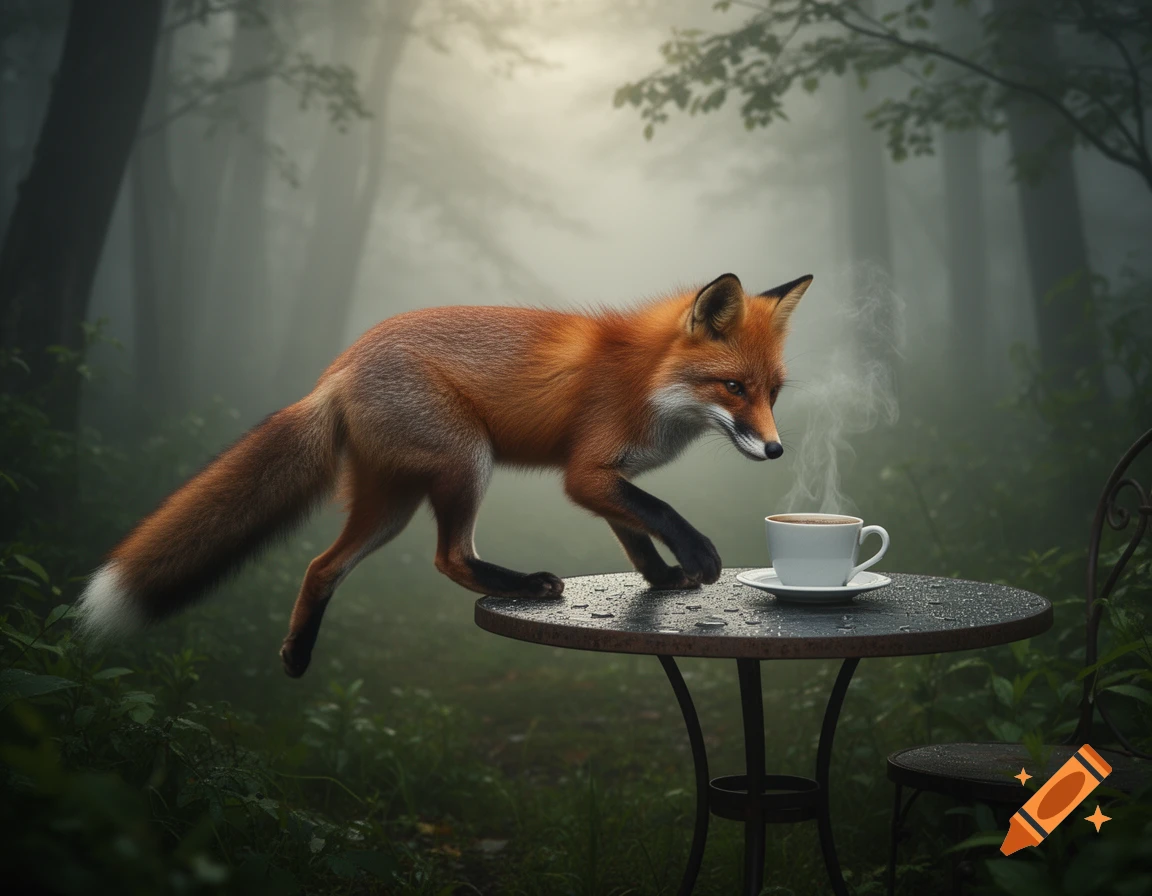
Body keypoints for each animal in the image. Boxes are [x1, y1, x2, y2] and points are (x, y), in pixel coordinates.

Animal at [77, 272, 811, 677]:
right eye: (733, 387)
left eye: (773, 392)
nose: (777, 451)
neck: (646, 379)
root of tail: (338, 368)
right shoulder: (585, 472)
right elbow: (658, 512)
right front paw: (698, 558)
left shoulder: (605, 478)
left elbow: (634, 535)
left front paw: (661, 578)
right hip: (466, 461)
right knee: (448, 557)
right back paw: (524, 584)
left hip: (391, 502)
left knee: (322, 565)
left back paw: (298, 654)